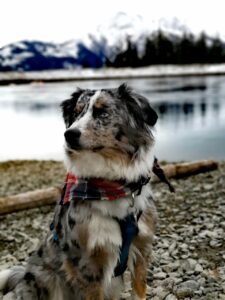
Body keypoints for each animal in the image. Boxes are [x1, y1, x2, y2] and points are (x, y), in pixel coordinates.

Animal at [0, 83, 158, 298]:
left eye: (102, 112)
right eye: (76, 113)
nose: (69, 134)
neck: (111, 185)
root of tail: (23, 277)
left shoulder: (142, 248)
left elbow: (139, 291)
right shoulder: (88, 265)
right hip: (48, 279)